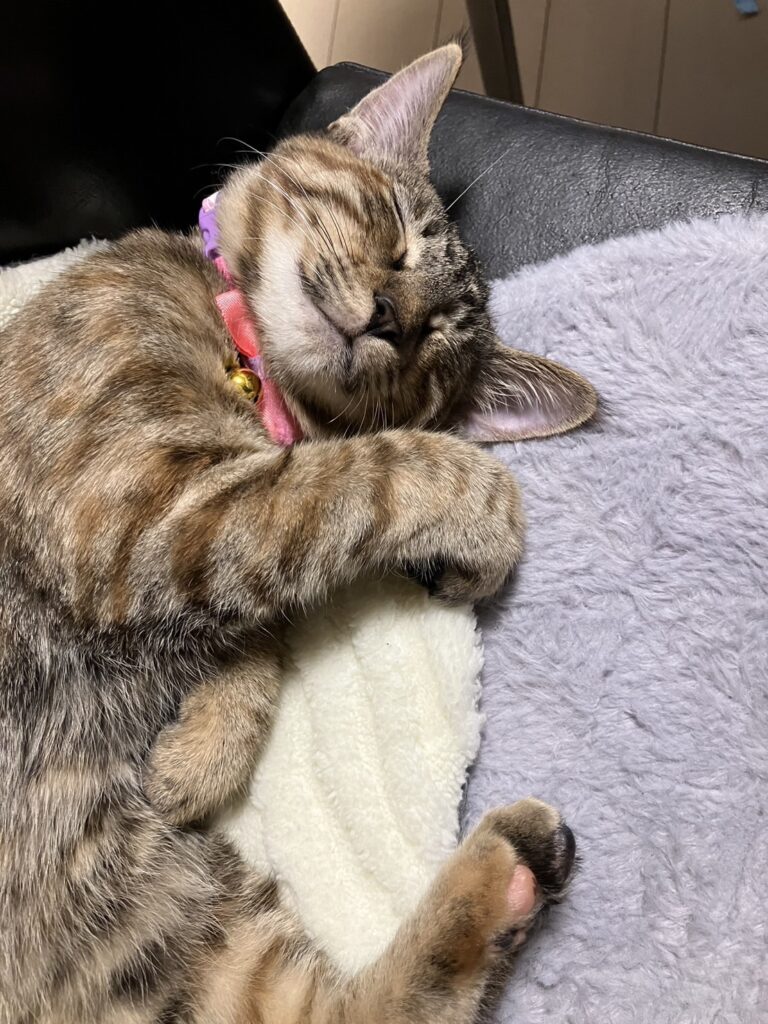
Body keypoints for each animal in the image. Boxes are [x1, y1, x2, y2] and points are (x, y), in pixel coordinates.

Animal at [0, 44, 595, 1024]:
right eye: (396, 232)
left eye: (438, 340)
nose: (393, 317)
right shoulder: (140, 507)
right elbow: (365, 474)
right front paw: (485, 500)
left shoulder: (183, 521)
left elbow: (266, 604)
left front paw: (198, 753)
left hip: (163, 921)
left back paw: (508, 869)